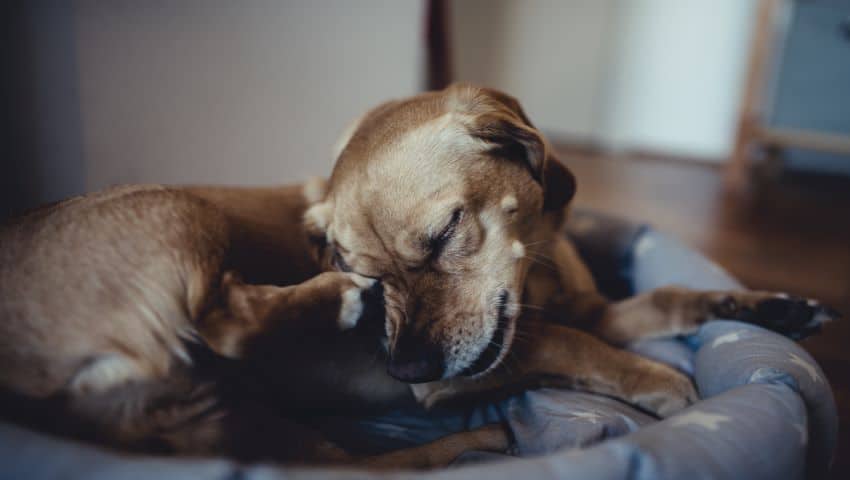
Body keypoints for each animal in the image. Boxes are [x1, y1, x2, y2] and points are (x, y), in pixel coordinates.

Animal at [0, 83, 836, 468]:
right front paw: (660, 383)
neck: (535, 276)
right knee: (225, 325)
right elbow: (575, 347)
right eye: (355, 261)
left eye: (442, 236)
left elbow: (664, 297)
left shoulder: (591, 309)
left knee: (355, 471)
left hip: (243, 424)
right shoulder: (486, 362)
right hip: (177, 212)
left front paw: (763, 306)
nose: (401, 367)